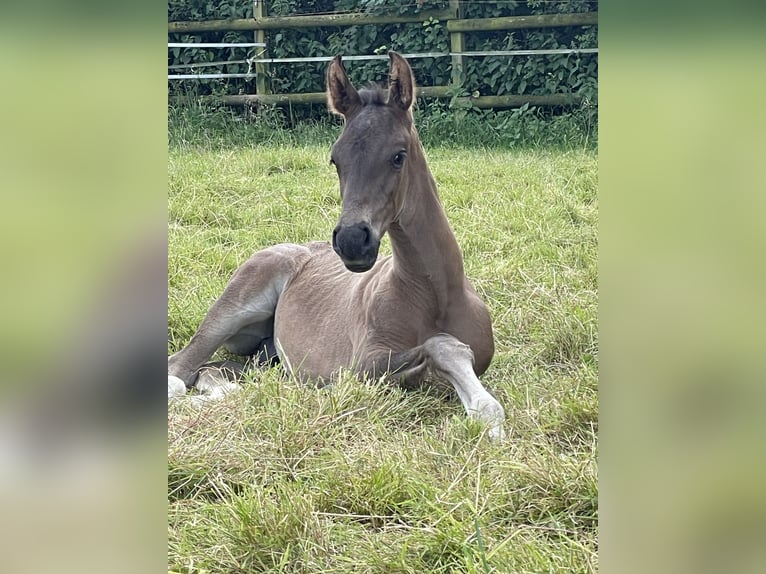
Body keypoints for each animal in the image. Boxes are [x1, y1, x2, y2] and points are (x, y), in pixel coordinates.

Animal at [167, 53, 504, 440]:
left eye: (398, 156)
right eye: (335, 159)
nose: (352, 241)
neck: (435, 295)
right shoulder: (361, 365)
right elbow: (440, 346)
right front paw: (489, 417)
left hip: (265, 357)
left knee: (214, 370)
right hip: (234, 307)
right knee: (180, 369)